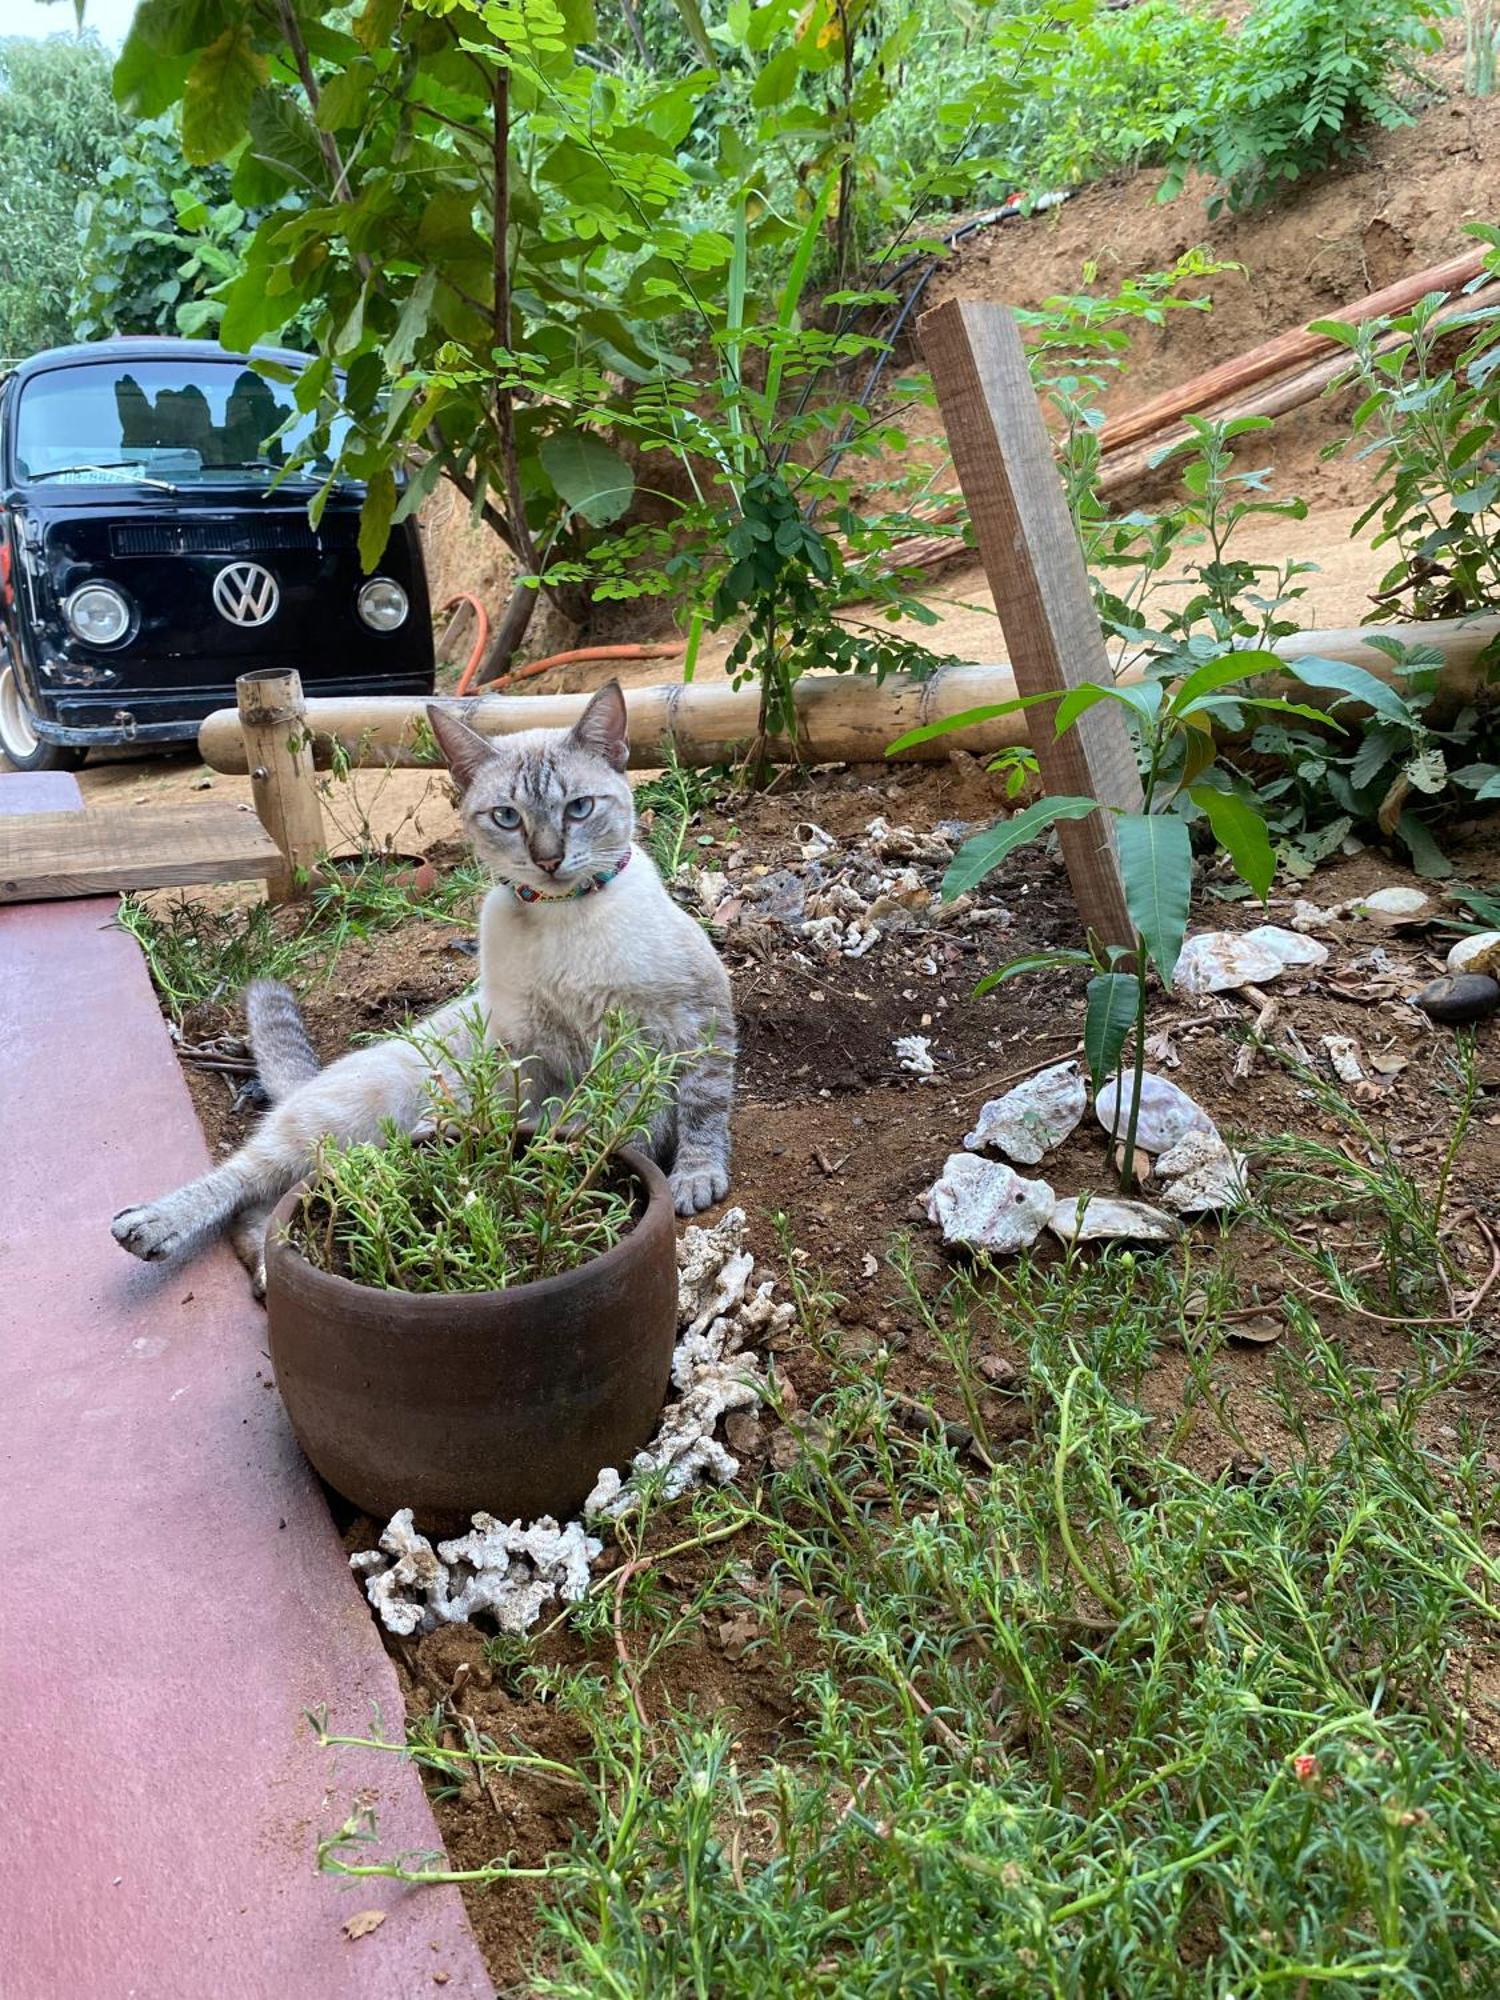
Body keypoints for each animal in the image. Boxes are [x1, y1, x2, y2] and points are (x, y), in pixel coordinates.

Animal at [110, 680, 736, 1288]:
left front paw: (694, 1179)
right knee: (248, 1180)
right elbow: (568, 1118)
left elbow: (698, 1109)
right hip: (334, 1122)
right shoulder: (534, 1050)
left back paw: (264, 1269)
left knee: (269, 1204)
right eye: (507, 818)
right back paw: (155, 1226)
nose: (549, 860)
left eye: (579, 808)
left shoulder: (695, 1021)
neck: (564, 916)